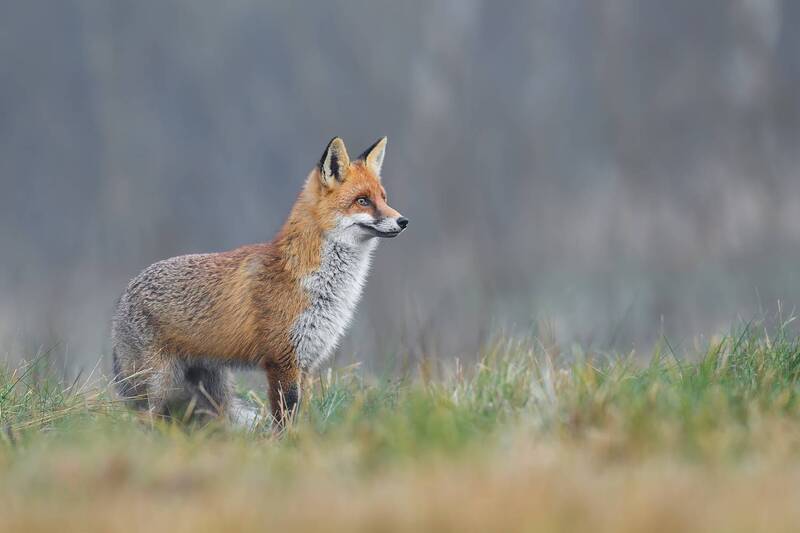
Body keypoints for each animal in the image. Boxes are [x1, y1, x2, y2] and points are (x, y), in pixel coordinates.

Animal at [111, 137, 407, 426]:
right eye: (363, 200)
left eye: (383, 198)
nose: (403, 221)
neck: (317, 285)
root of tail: (123, 298)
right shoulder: (282, 360)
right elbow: (285, 416)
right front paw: (286, 440)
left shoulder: (305, 362)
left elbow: (300, 414)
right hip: (159, 386)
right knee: (143, 420)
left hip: (212, 395)